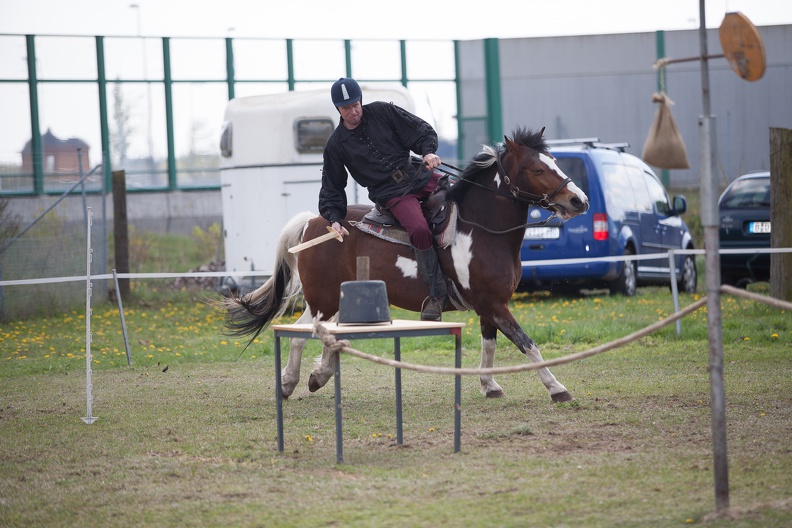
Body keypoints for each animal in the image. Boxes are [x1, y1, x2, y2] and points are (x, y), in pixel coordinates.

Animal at [220, 126, 592, 402]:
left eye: (554, 161)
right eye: (537, 168)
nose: (579, 200)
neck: (480, 228)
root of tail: (316, 222)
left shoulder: (491, 305)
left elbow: (490, 345)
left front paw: (490, 386)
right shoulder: (493, 303)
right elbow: (527, 343)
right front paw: (557, 388)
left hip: (336, 300)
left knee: (324, 336)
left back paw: (313, 376)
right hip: (322, 301)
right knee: (304, 334)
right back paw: (293, 382)